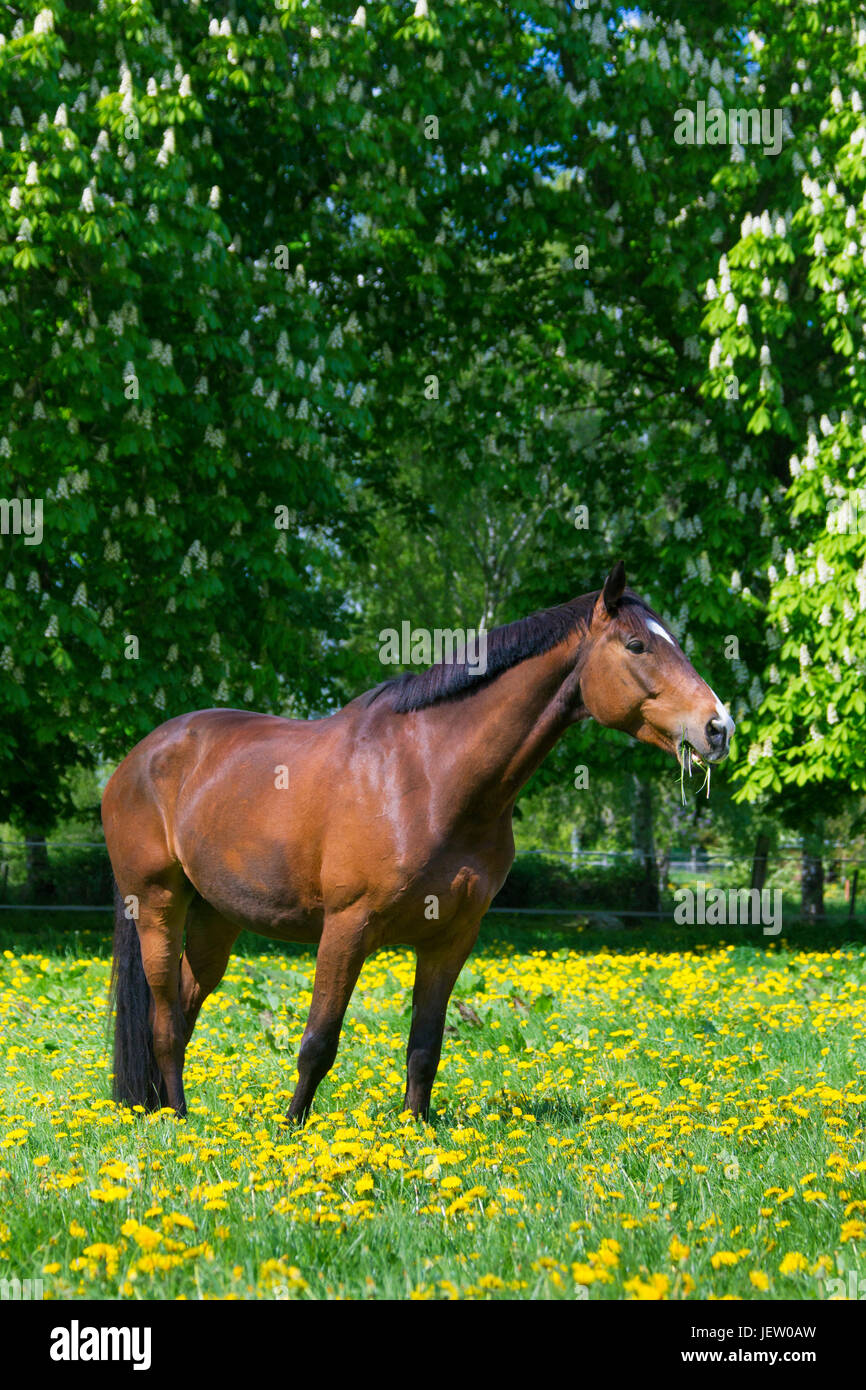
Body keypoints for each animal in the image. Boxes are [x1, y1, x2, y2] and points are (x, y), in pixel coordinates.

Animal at [102, 561, 734, 1122]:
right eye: (636, 645)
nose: (718, 727)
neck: (428, 776)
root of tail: (138, 759)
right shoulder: (346, 928)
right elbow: (318, 1042)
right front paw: (291, 1132)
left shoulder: (451, 938)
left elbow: (426, 1045)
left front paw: (415, 1131)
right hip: (157, 905)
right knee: (164, 1019)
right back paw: (177, 1118)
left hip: (217, 918)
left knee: (186, 1007)